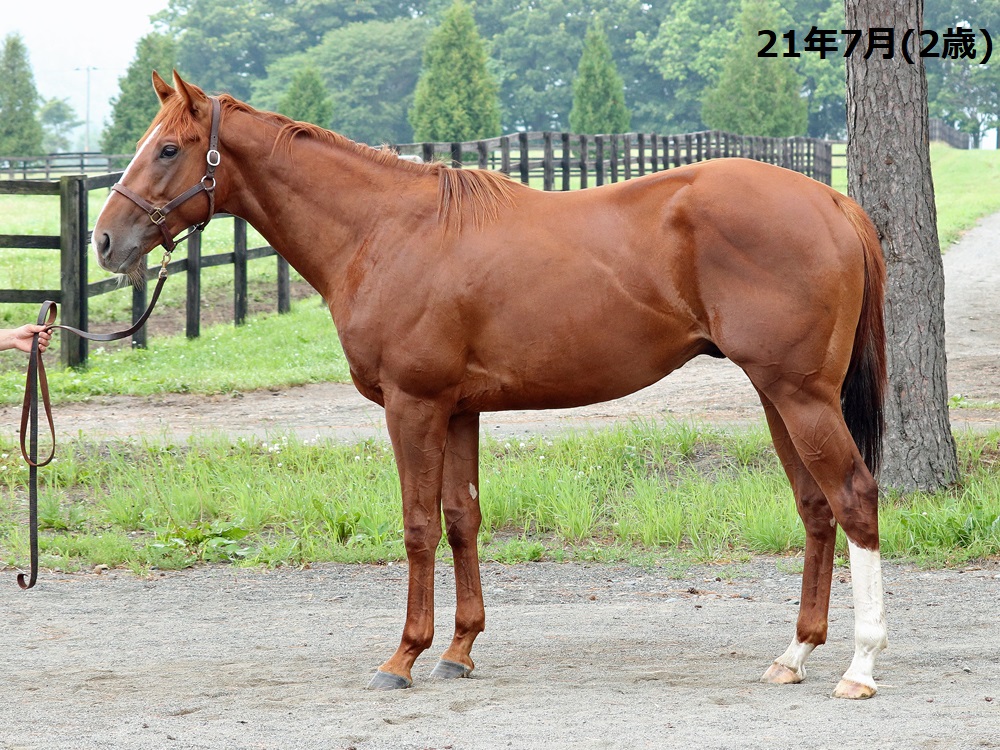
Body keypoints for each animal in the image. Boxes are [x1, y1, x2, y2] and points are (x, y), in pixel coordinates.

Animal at [94, 73, 888, 704]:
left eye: (169, 149)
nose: (106, 241)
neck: (384, 229)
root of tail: (834, 203)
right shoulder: (459, 410)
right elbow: (462, 519)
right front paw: (459, 650)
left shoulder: (413, 406)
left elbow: (418, 526)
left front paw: (403, 657)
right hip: (776, 395)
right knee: (816, 506)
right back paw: (795, 654)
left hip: (800, 395)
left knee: (854, 496)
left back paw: (861, 666)